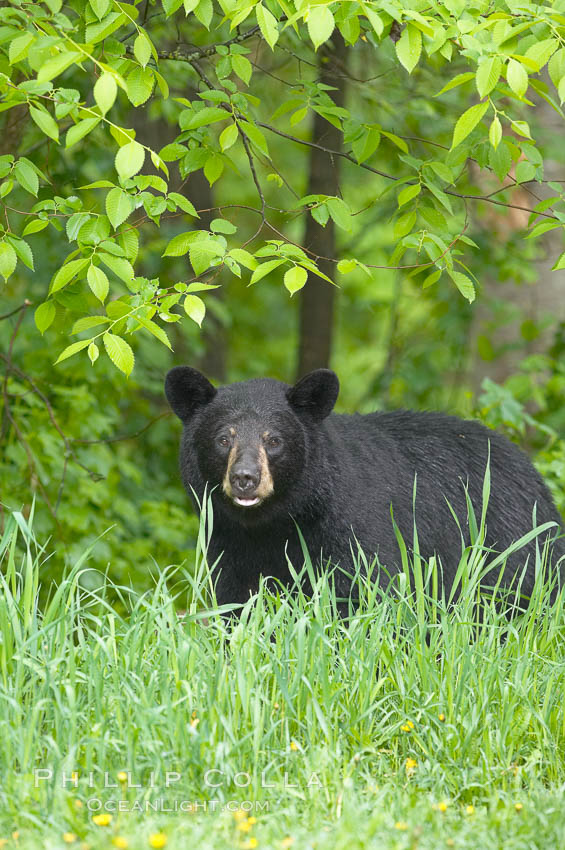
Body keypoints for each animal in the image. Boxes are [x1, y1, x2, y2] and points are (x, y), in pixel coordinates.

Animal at [165, 368, 560, 608]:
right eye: (223, 438)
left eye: (273, 439)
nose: (245, 477)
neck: (273, 524)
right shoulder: (228, 543)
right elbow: (237, 603)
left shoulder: (355, 529)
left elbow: (365, 593)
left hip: (513, 548)